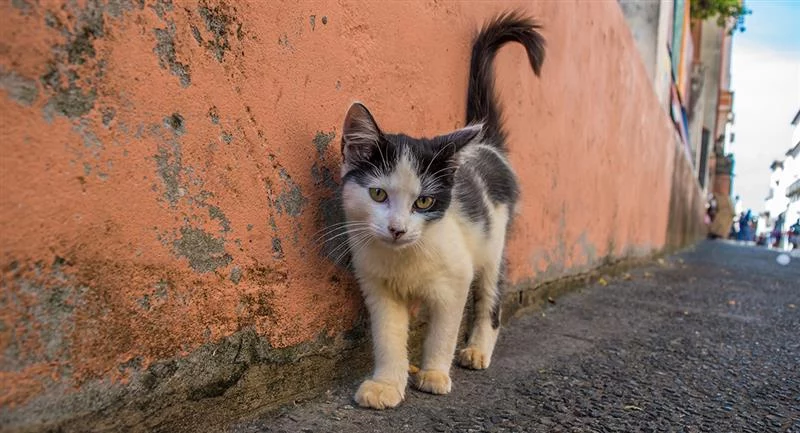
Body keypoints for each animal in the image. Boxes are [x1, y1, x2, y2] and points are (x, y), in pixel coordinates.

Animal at [334, 11, 548, 408]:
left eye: (424, 202)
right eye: (377, 194)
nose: (397, 229)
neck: (404, 258)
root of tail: (488, 146)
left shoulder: (456, 278)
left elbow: (443, 331)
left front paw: (433, 373)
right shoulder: (378, 287)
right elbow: (388, 336)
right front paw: (386, 384)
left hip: (494, 243)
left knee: (490, 298)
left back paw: (477, 350)